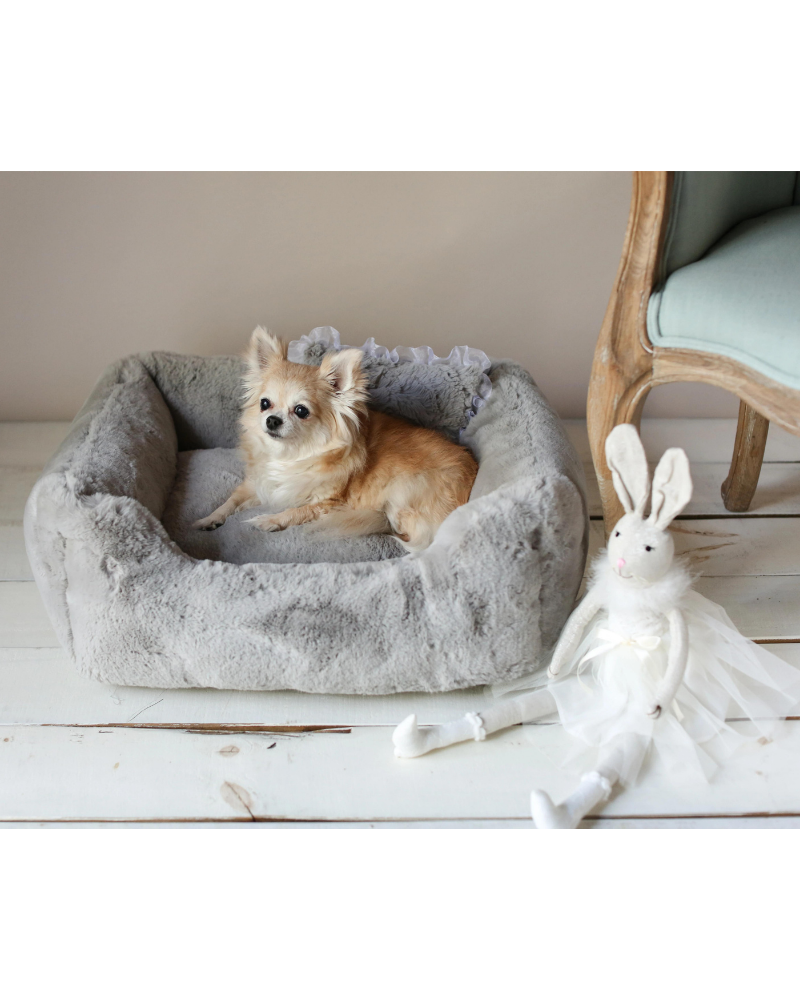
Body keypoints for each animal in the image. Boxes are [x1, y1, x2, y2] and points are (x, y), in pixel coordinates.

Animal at [192, 328, 482, 552]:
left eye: (301, 411)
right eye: (265, 404)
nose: (272, 420)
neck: (291, 455)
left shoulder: (330, 503)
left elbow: (298, 511)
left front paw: (269, 520)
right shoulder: (258, 483)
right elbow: (231, 500)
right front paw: (209, 518)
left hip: (401, 498)